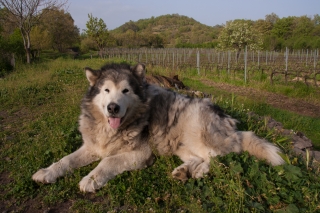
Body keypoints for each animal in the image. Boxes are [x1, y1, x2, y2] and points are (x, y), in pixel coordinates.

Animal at [31, 62, 282, 192]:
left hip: (198, 133)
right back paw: (185, 171)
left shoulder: (141, 154)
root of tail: (231, 123)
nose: (113, 108)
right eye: (106, 90)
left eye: (125, 91)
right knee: (200, 158)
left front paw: (90, 180)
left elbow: (107, 161)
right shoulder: (92, 147)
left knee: (219, 159)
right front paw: (46, 172)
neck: (112, 130)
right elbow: (66, 160)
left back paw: (199, 171)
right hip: (179, 145)